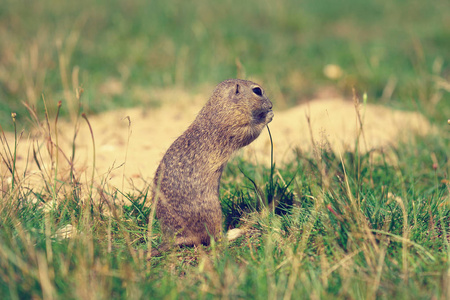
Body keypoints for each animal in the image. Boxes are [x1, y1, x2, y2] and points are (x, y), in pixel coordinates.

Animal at [153, 79, 274, 251]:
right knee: (214, 238)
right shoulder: (236, 126)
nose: (271, 105)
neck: (222, 106)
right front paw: (268, 116)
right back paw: (233, 233)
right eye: (257, 91)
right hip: (213, 211)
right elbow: (251, 132)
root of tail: (177, 237)